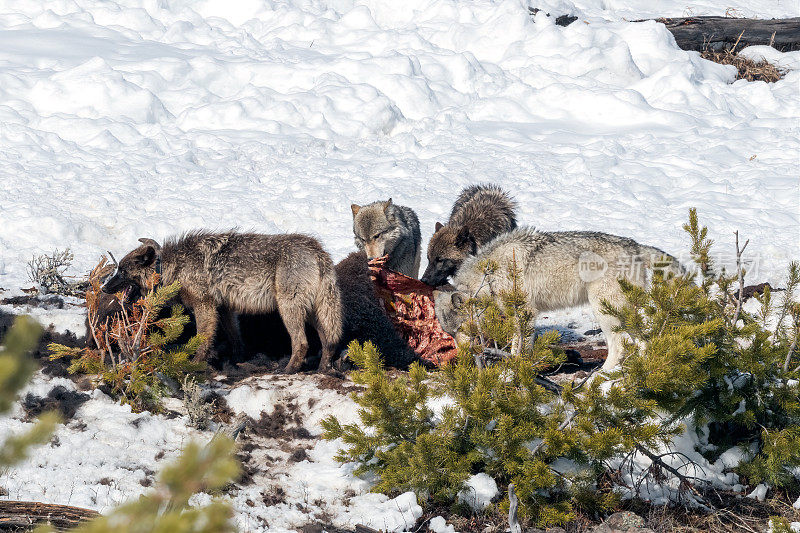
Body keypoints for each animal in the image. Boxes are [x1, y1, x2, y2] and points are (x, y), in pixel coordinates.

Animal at [101, 231, 342, 372]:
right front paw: (236, 361)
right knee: (329, 340)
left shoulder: (205, 305)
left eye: (122, 270)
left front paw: (195, 363)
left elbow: (203, 338)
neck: (173, 266)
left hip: (289, 310)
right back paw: (323, 369)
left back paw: (288, 370)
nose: (103, 287)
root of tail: (318, 251)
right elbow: (235, 339)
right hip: (312, 313)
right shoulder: (225, 309)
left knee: (302, 342)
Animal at [438, 229, 680, 370]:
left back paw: (601, 376)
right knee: (644, 342)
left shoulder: (525, 313)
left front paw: (516, 369)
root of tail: (635, 246)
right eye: (450, 334)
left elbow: (519, 347)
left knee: (619, 346)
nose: (465, 357)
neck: (489, 276)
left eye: (459, 330)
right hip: (623, 313)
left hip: (603, 310)